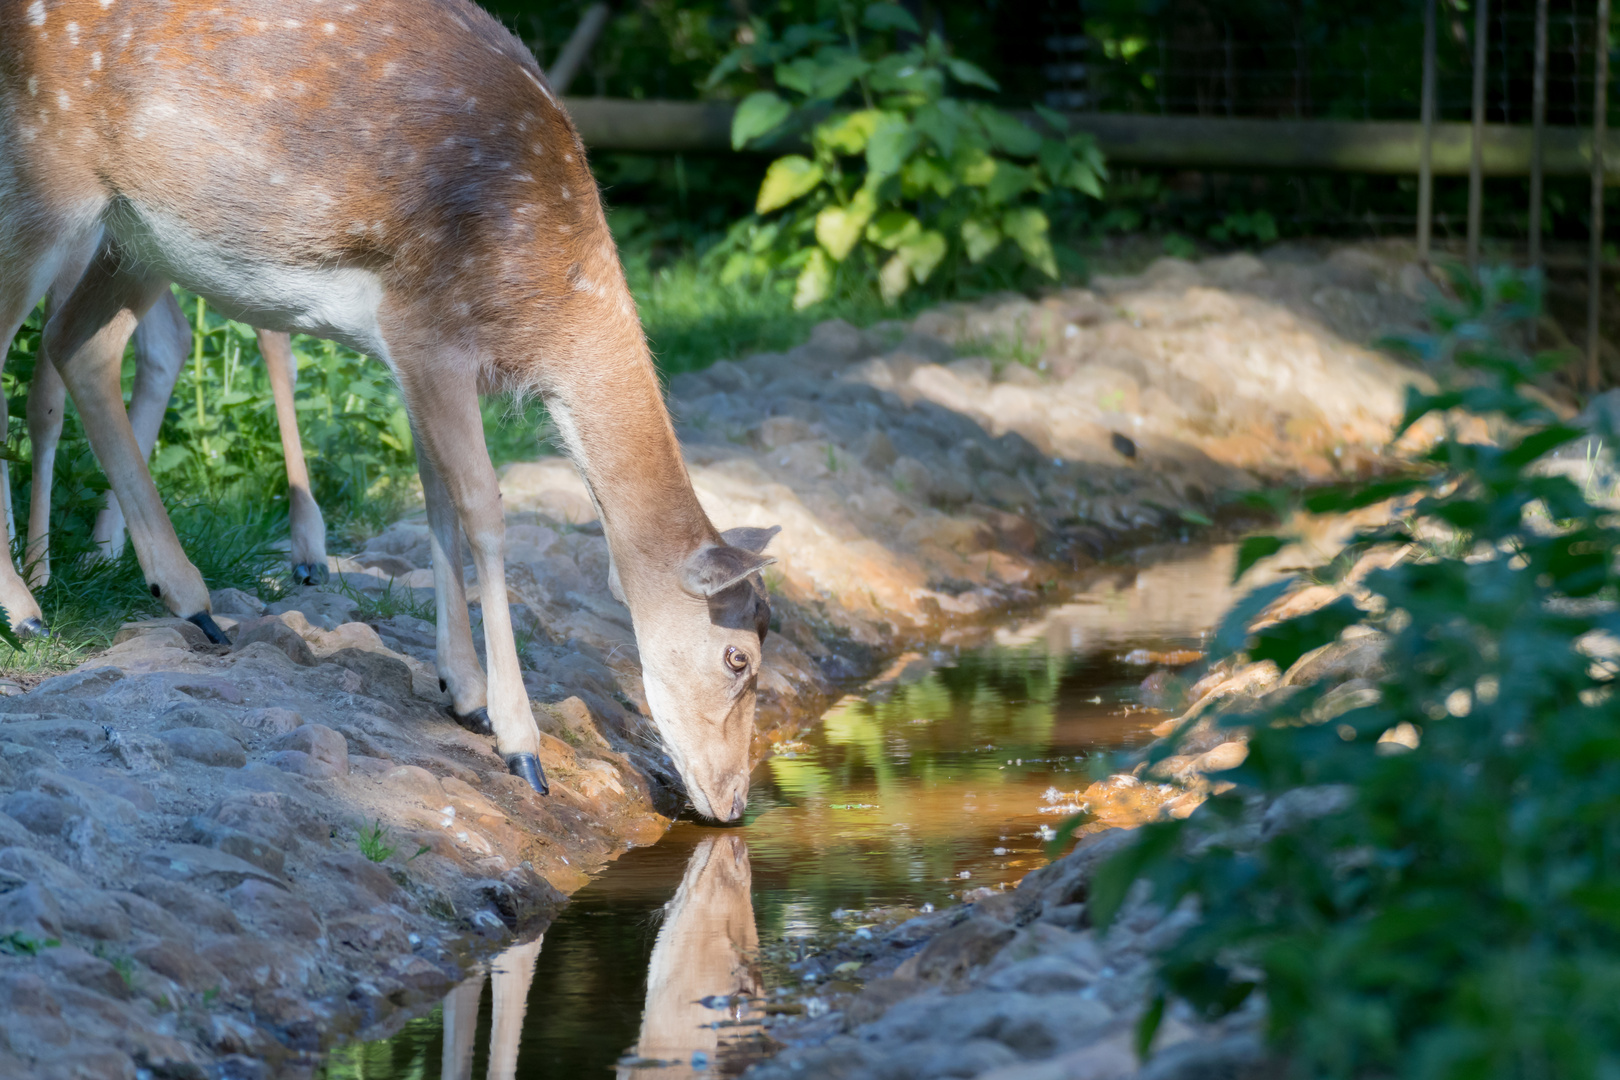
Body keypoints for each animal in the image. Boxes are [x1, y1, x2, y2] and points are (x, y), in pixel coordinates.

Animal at [11, 255, 328, 625]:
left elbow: (44, 404)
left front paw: (35, 574)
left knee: (270, 329)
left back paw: (308, 551)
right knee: (168, 340)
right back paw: (105, 554)